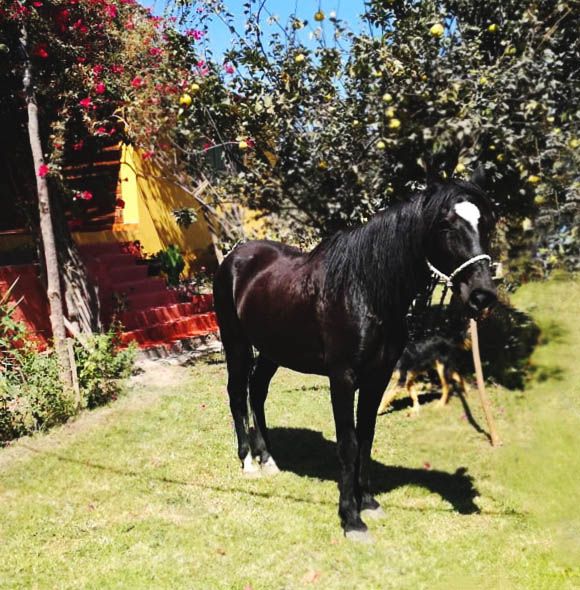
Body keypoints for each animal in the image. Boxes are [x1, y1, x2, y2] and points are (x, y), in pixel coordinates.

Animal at [215, 171, 496, 540]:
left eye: (484, 223)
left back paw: (269, 459)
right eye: (445, 225)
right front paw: (351, 519)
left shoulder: (378, 377)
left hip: (273, 350)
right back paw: (248, 462)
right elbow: (348, 443)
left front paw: (368, 503)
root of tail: (234, 257)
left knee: (257, 391)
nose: (482, 296)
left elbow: (366, 437)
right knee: (237, 394)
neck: (363, 291)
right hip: (237, 344)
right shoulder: (343, 378)